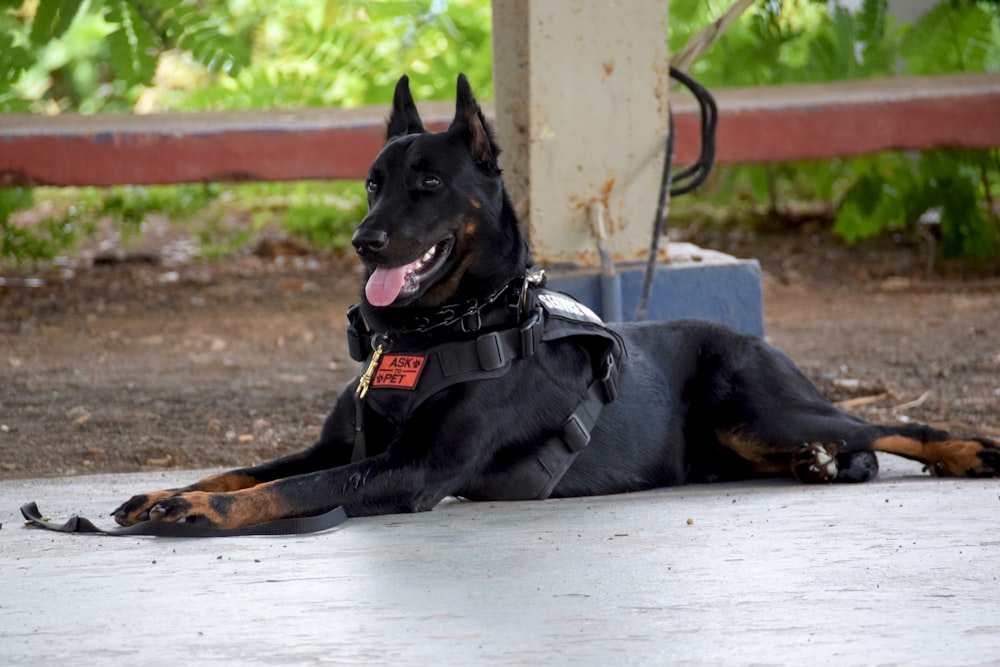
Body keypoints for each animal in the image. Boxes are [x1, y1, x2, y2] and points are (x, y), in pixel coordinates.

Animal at [113, 73, 1000, 528]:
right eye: (371, 182)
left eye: (428, 184)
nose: (364, 241)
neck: (437, 331)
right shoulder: (339, 445)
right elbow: (245, 467)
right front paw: (169, 493)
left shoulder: (408, 470)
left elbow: (287, 490)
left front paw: (199, 511)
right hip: (738, 436)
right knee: (845, 443)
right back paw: (819, 465)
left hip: (760, 407)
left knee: (886, 424)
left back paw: (965, 451)